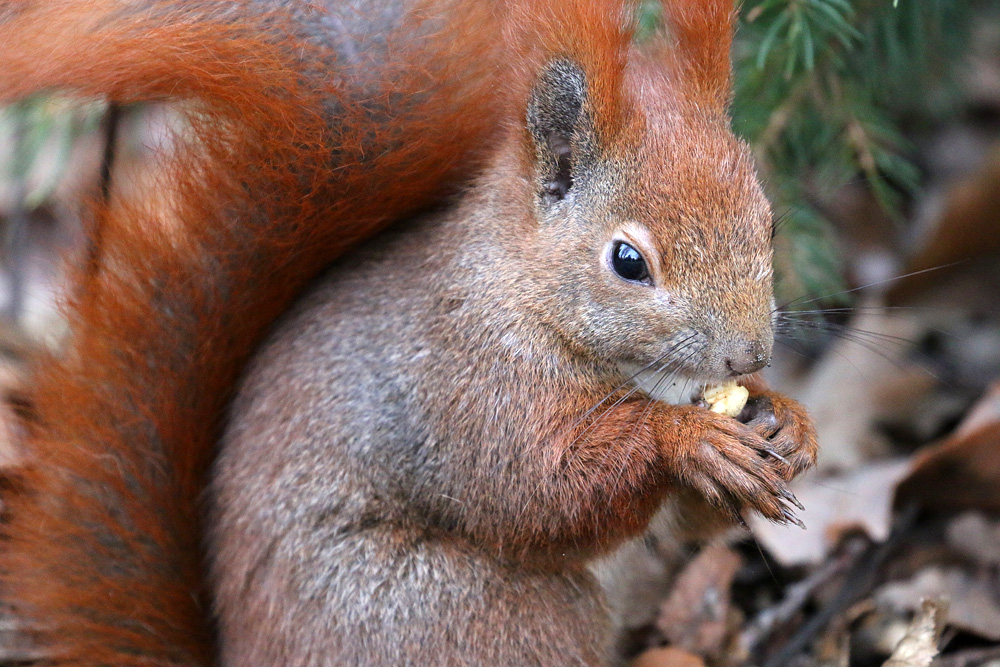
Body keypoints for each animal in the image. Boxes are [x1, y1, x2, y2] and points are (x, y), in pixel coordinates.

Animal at [0, 1, 820, 667]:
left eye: (770, 224)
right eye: (628, 261)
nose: (749, 353)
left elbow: (686, 518)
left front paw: (786, 422)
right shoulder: (463, 379)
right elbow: (537, 489)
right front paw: (687, 439)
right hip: (475, 613)